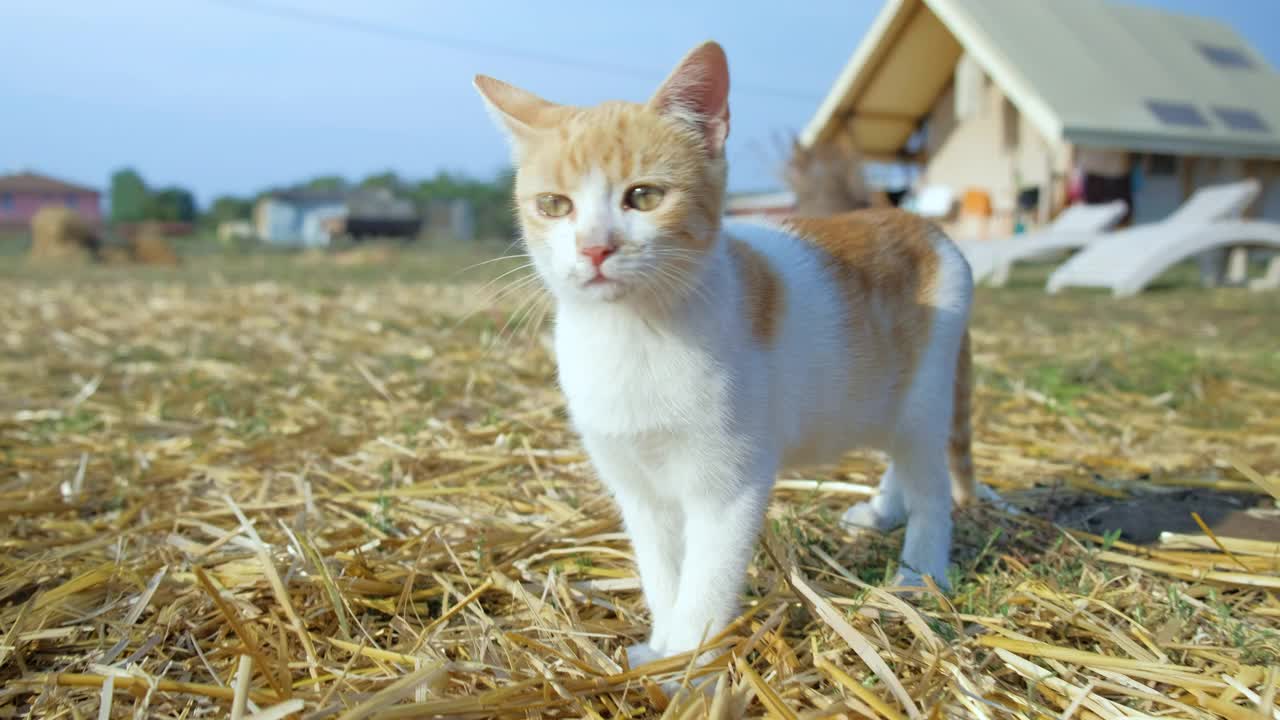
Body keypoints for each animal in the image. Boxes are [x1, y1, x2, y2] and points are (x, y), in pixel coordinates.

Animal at [476, 41, 972, 666]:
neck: (632, 334)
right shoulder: (638, 490)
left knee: (931, 483)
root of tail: (920, 223)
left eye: (643, 196)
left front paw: (687, 663)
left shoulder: (728, 488)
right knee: (898, 463)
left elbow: (705, 583)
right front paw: (659, 649)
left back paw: (919, 574)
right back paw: (884, 511)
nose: (594, 248)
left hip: (923, 402)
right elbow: (662, 573)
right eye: (553, 205)